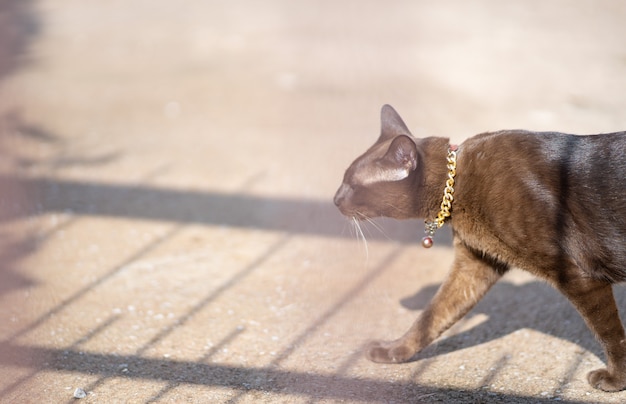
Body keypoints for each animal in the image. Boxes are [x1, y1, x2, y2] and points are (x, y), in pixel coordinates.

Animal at [334, 103, 624, 392]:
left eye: (352, 185)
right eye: (344, 179)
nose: (335, 199)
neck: (457, 184)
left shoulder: (578, 276)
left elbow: (610, 334)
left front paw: (617, 379)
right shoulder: (473, 266)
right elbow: (431, 318)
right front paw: (393, 351)